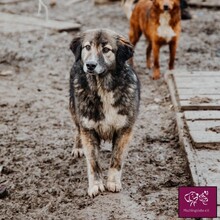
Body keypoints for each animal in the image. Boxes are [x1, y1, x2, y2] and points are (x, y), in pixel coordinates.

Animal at [69, 28, 140, 197]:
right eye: (87, 47)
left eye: (106, 50)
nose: (90, 65)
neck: (102, 87)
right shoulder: (88, 128)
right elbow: (93, 162)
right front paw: (96, 185)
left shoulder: (125, 129)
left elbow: (117, 159)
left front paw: (112, 182)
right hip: (74, 110)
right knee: (77, 129)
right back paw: (78, 147)